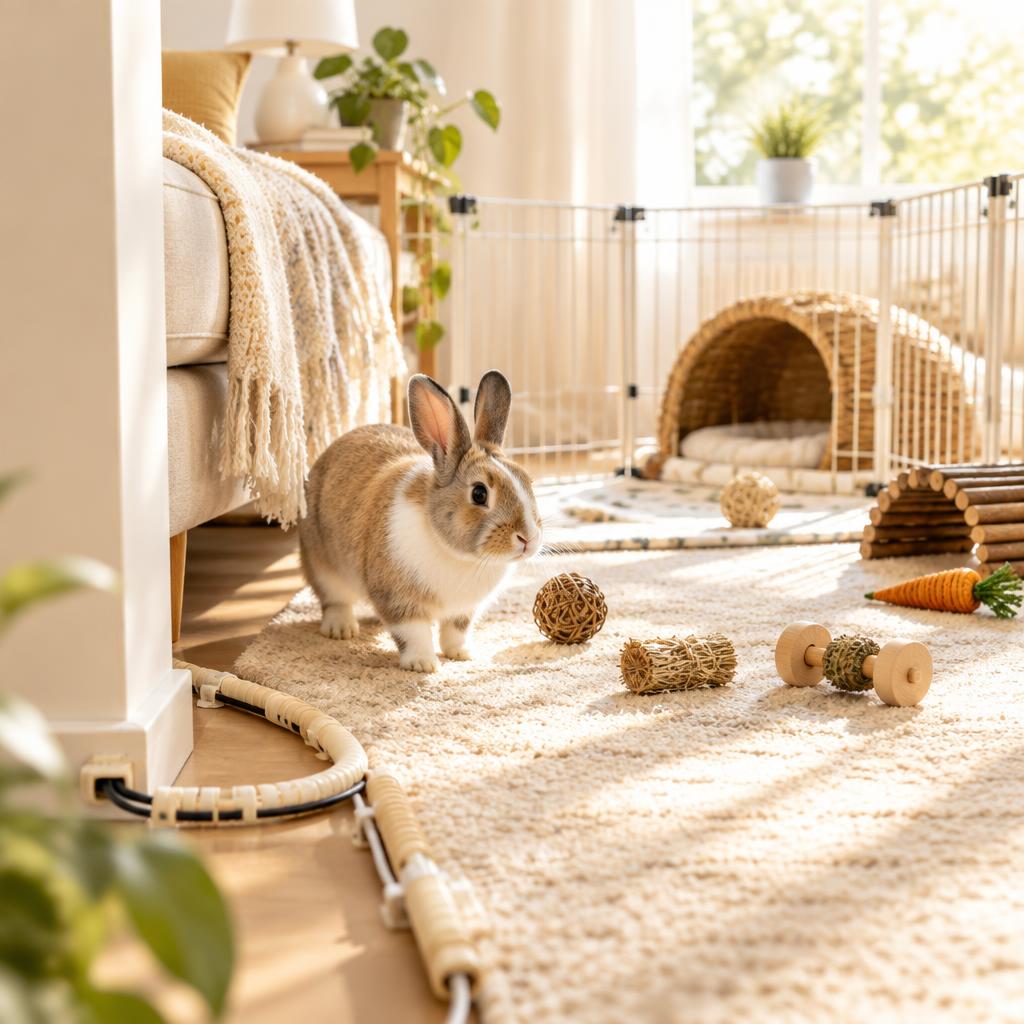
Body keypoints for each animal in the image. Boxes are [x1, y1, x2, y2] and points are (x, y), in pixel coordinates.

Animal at [298, 370, 543, 672]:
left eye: (528, 481)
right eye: (479, 493)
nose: (528, 538)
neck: (457, 555)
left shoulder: (464, 610)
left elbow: (455, 631)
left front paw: (461, 654)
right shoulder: (399, 601)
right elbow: (414, 633)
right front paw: (423, 664)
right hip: (322, 564)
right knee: (334, 600)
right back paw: (341, 629)